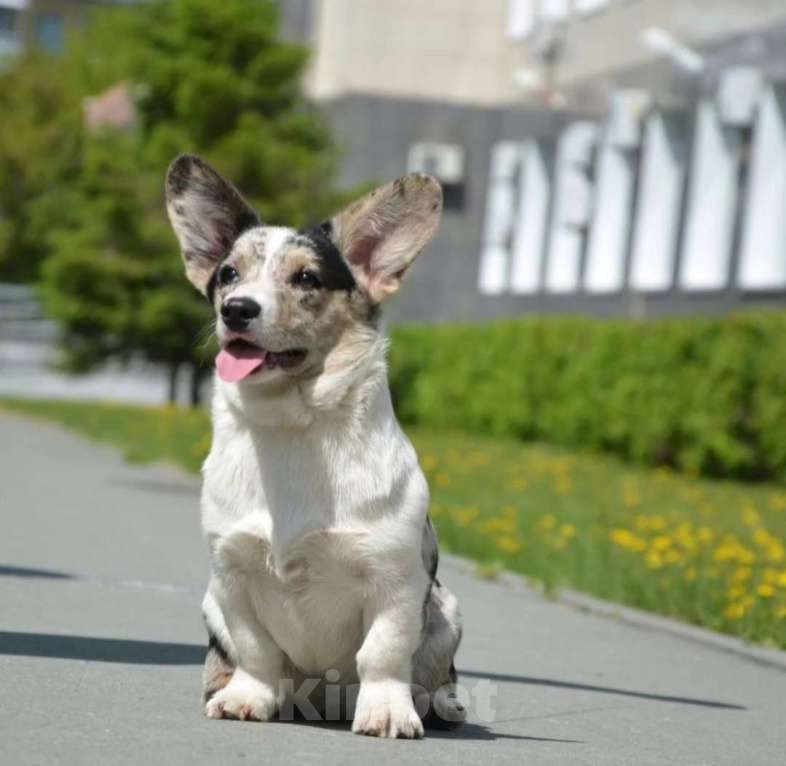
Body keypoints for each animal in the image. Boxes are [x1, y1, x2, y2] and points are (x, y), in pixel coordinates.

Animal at [163, 154, 462, 736]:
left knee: (432, 675)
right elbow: (257, 650)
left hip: (447, 611)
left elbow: (383, 651)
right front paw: (247, 698)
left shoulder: (395, 581)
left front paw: (387, 712)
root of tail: (323, 702)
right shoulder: (232, 576)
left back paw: (438, 704)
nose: (236, 310)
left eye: (306, 277)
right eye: (228, 274)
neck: (292, 425)